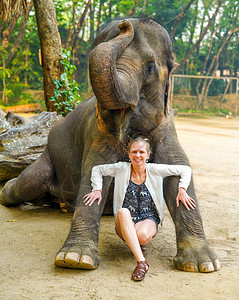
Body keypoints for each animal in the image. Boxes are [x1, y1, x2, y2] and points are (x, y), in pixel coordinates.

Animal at [0, 17, 220, 274]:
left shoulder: (166, 125)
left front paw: (202, 264)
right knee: (28, 182)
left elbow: (177, 171)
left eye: (150, 68)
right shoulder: (98, 132)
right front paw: (75, 259)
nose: (126, 23)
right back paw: (7, 193)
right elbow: (95, 172)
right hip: (47, 158)